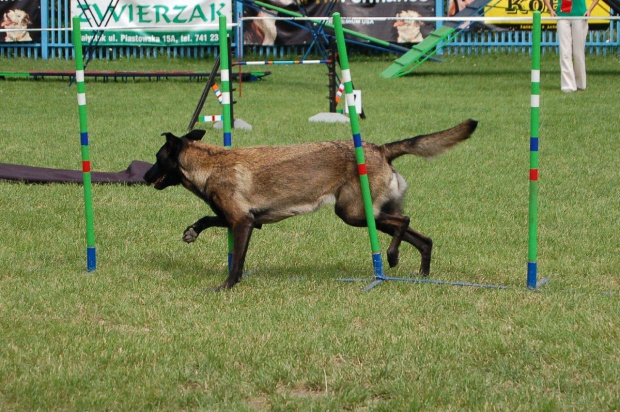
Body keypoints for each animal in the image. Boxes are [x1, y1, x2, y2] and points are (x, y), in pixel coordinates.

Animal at [143, 119, 478, 292]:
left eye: (157, 158)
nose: (143, 176)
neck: (209, 163)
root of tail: (380, 149)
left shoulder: (242, 222)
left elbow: (236, 259)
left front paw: (226, 286)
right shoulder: (248, 220)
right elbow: (207, 217)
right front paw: (192, 231)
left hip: (354, 213)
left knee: (404, 222)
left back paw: (393, 257)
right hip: (371, 214)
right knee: (423, 238)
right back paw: (422, 275)